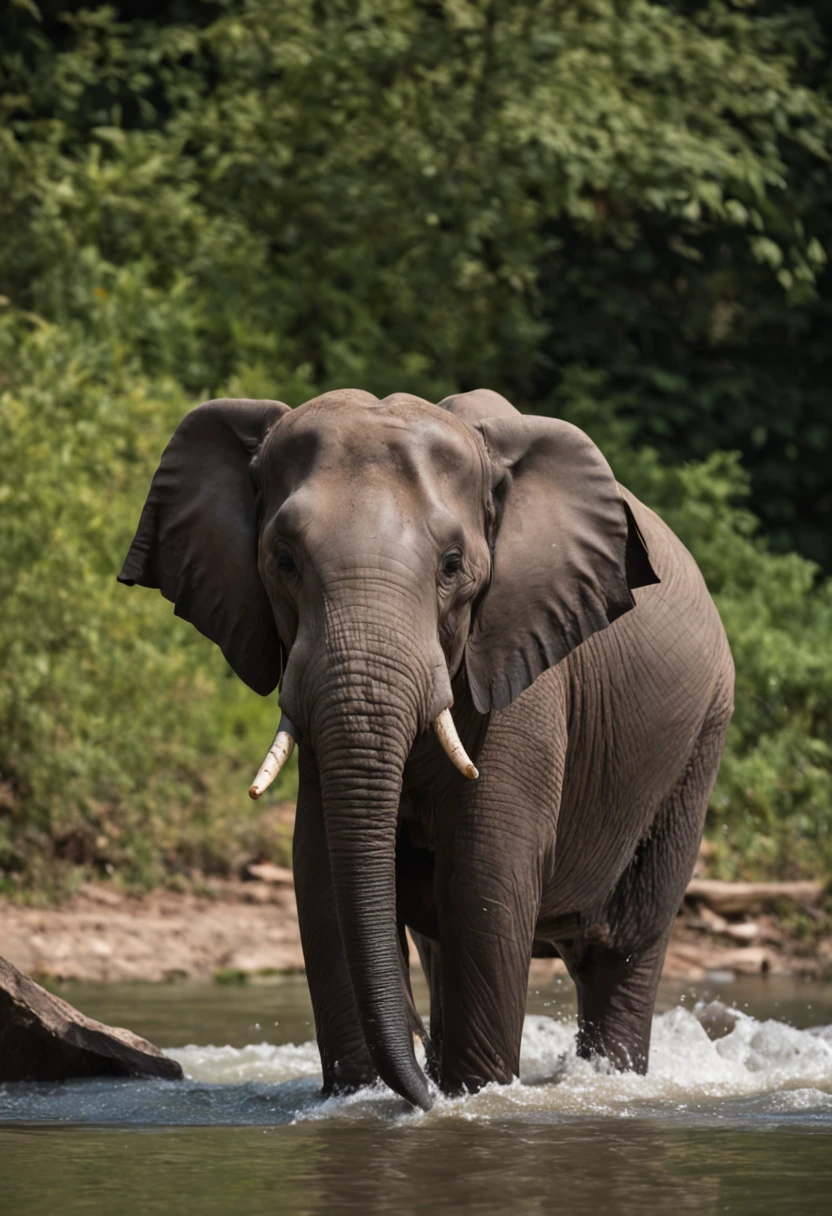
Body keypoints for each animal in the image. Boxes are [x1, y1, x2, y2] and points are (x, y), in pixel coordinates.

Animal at [120, 389, 729, 1113]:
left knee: (622, 949)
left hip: (697, 745)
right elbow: (320, 872)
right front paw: (357, 1097)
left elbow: (485, 874)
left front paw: (473, 1097)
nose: (421, 1091)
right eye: (283, 561)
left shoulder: (524, 670)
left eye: (452, 566)